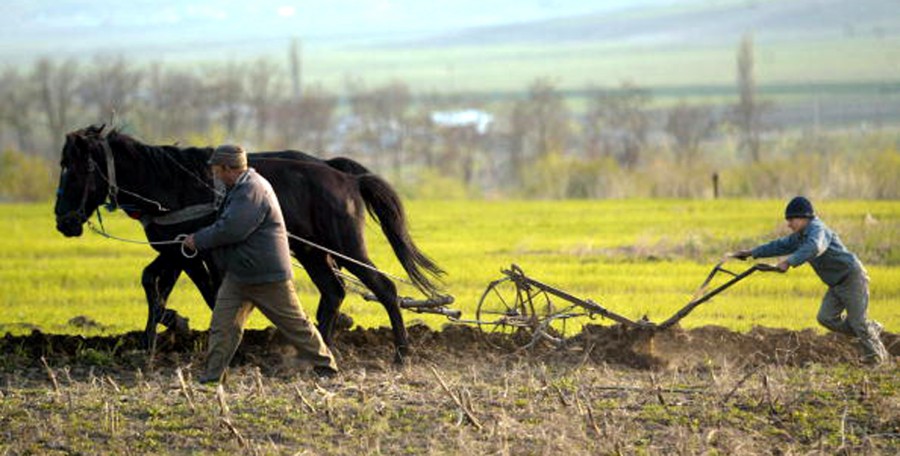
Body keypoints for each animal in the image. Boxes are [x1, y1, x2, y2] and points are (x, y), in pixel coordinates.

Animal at [53, 125, 442, 364]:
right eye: (62, 165)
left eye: (78, 169)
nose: (63, 221)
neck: (169, 181)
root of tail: (346, 177)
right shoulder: (176, 247)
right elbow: (153, 284)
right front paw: (154, 338)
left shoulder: (191, 251)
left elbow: (209, 293)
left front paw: (221, 345)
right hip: (313, 251)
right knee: (333, 292)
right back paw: (320, 348)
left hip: (344, 246)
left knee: (385, 288)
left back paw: (401, 353)